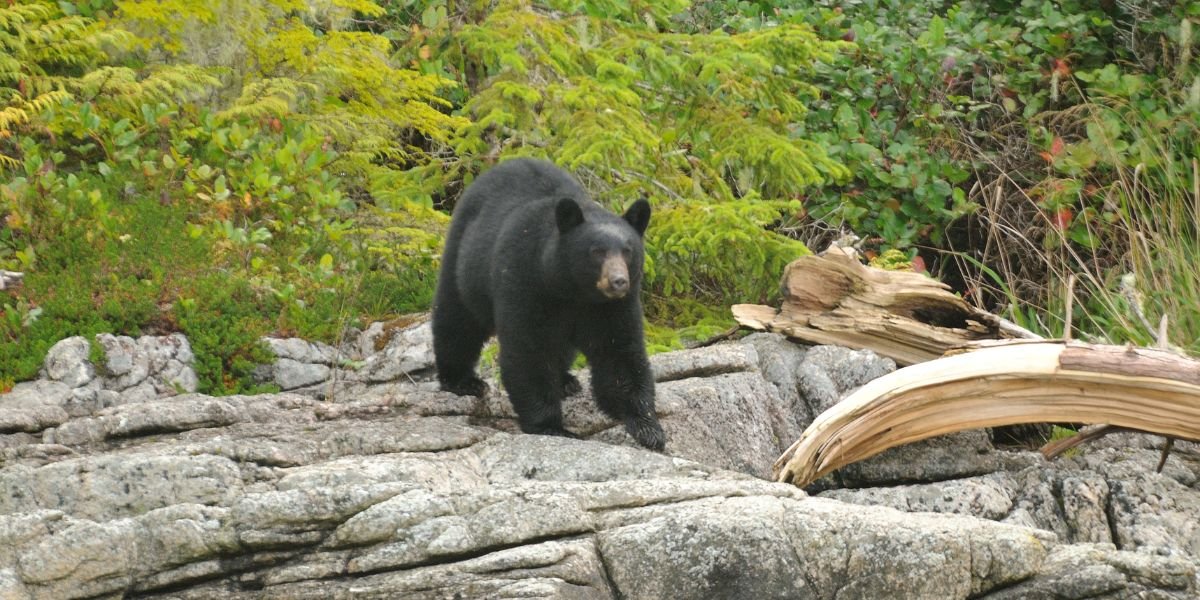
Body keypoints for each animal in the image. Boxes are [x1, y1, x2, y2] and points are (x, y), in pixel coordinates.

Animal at [432, 157, 666, 451]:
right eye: (596, 251)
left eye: (628, 250)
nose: (618, 282)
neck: (572, 289)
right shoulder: (524, 281)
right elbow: (528, 351)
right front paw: (550, 426)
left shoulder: (612, 308)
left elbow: (619, 354)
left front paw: (649, 428)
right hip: (464, 262)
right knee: (457, 319)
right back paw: (461, 380)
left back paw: (566, 381)